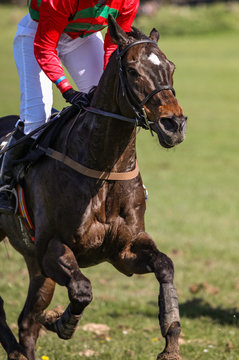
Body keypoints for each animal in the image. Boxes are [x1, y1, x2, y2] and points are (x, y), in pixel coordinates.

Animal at [0, 14, 187, 360]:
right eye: (133, 71)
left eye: (170, 66)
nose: (175, 125)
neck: (104, 166)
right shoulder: (50, 248)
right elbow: (82, 290)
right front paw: (61, 322)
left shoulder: (123, 250)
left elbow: (165, 266)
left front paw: (171, 339)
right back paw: (16, 349)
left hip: (34, 264)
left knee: (27, 322)